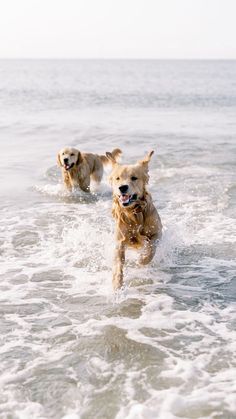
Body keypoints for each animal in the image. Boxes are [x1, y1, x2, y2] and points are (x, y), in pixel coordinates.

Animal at [106, 151, 162, 292]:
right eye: (118, 178)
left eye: (134, 178)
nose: (122, 187)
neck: (134, 213)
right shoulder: (120, 241)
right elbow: (118, 264)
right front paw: (117, 283)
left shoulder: (157, 233)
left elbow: (151, 248)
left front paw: (143, 260)